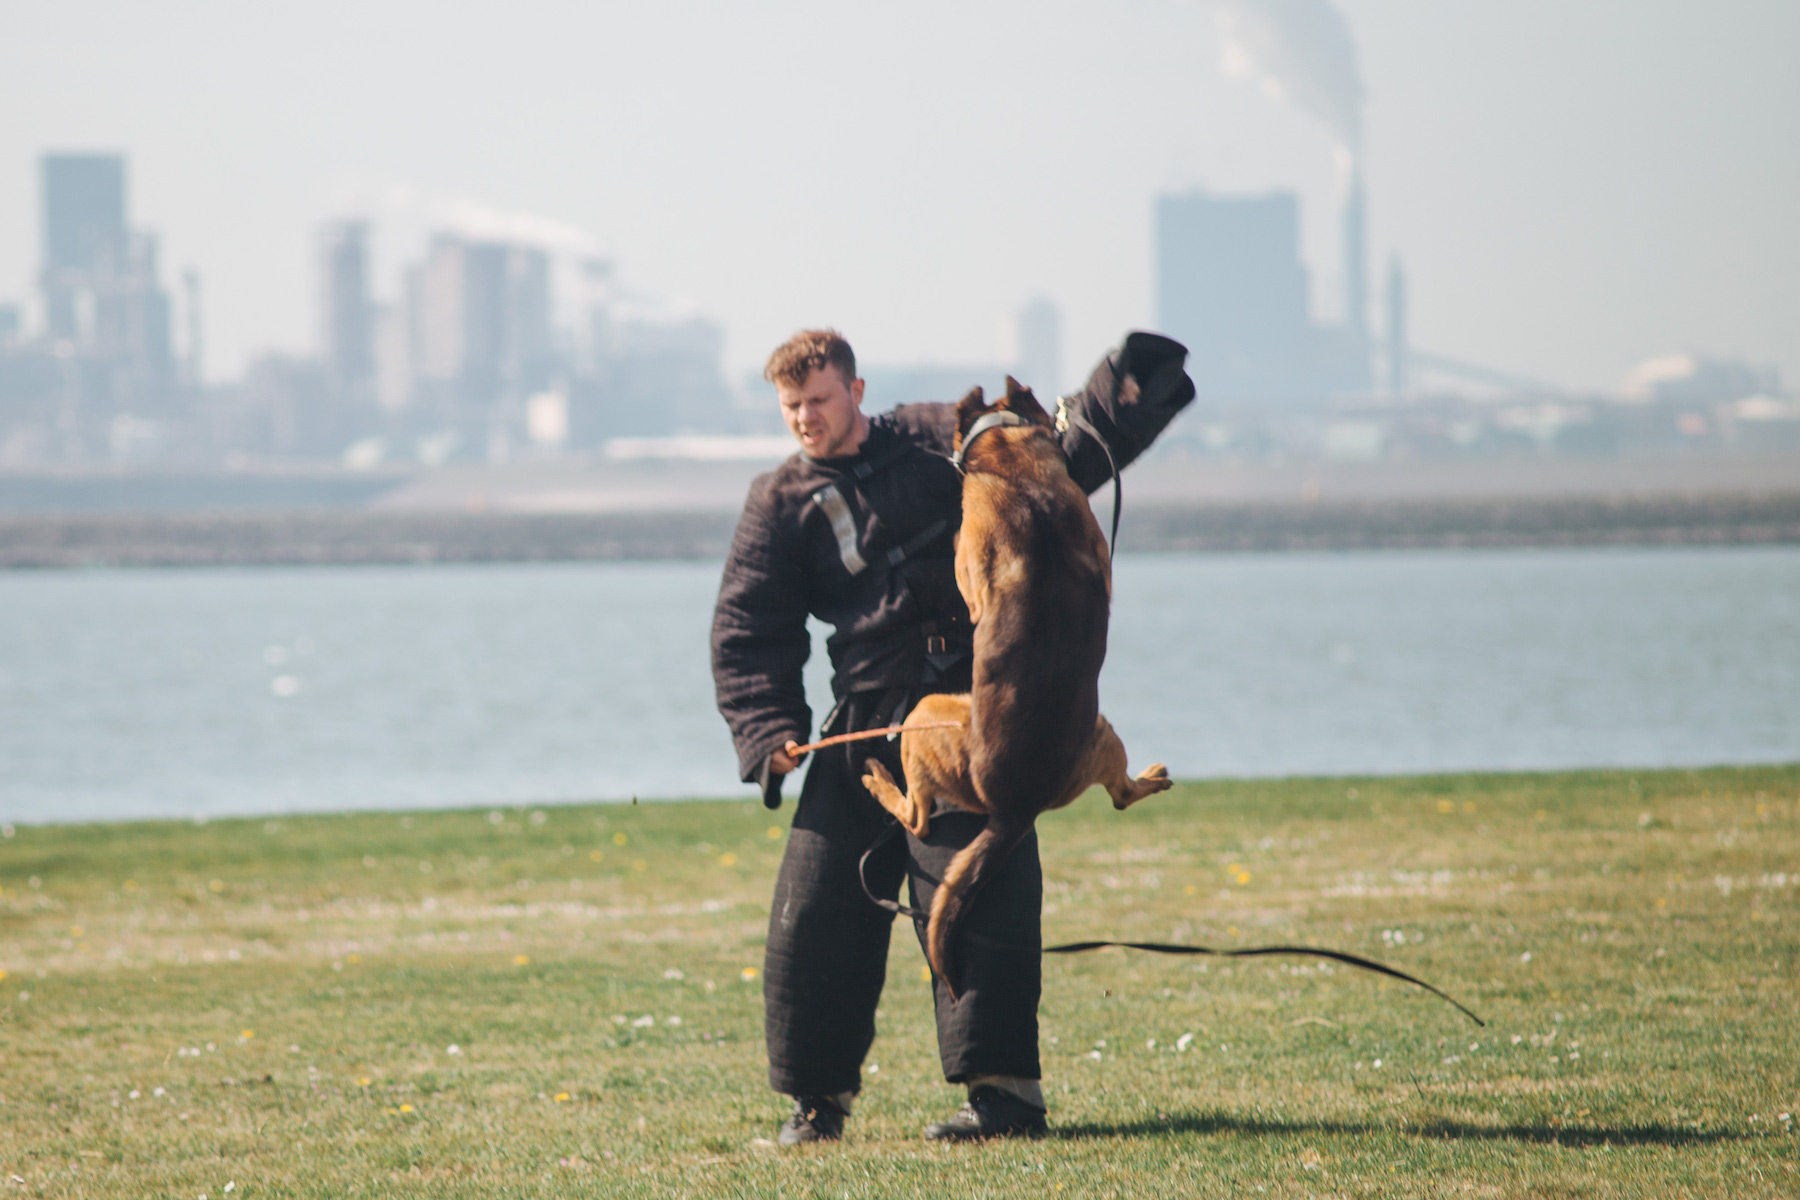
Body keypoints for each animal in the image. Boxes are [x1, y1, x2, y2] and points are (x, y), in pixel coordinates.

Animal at [856, 377, 1166, 993]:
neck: (1015, 466)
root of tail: (1018, 808)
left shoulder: (969, 564)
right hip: (1101, 731)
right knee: (1121, 795)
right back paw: (1153, 777)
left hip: (924, 715)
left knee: (918, 816)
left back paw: (879, 779)